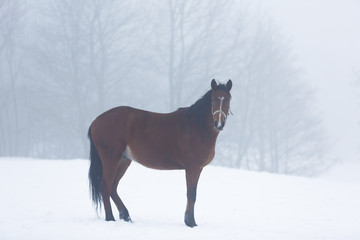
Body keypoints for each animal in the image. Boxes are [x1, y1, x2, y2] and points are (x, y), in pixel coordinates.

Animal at [88, 79, 232, 227]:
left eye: (228, 99)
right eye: (213, 99)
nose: (219, 123)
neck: (197, 126)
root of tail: (96, 121)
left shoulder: (198, 168)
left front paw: (188, 220)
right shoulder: (193, 168)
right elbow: (191, 194)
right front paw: (191, 222)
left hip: (123, 161)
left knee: (113, 187)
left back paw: (126, 215)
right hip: (111, 159)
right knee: (105, 186)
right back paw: (110, 218)